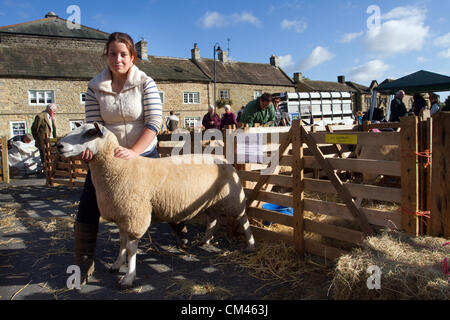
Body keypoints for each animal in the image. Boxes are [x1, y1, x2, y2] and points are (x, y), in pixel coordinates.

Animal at [55, 122, 256, 288]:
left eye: (90, 133)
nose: (59, 145)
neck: (118, 167)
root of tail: (224, 160)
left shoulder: (135, 215)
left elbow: (131, 248)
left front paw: (128, 277)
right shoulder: (122, 216)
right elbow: (121, 243)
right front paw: (116, 265)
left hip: (233, 198)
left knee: (243, 219)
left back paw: (250, 245)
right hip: (210, 201)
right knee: (213, 219)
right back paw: (205, 240)